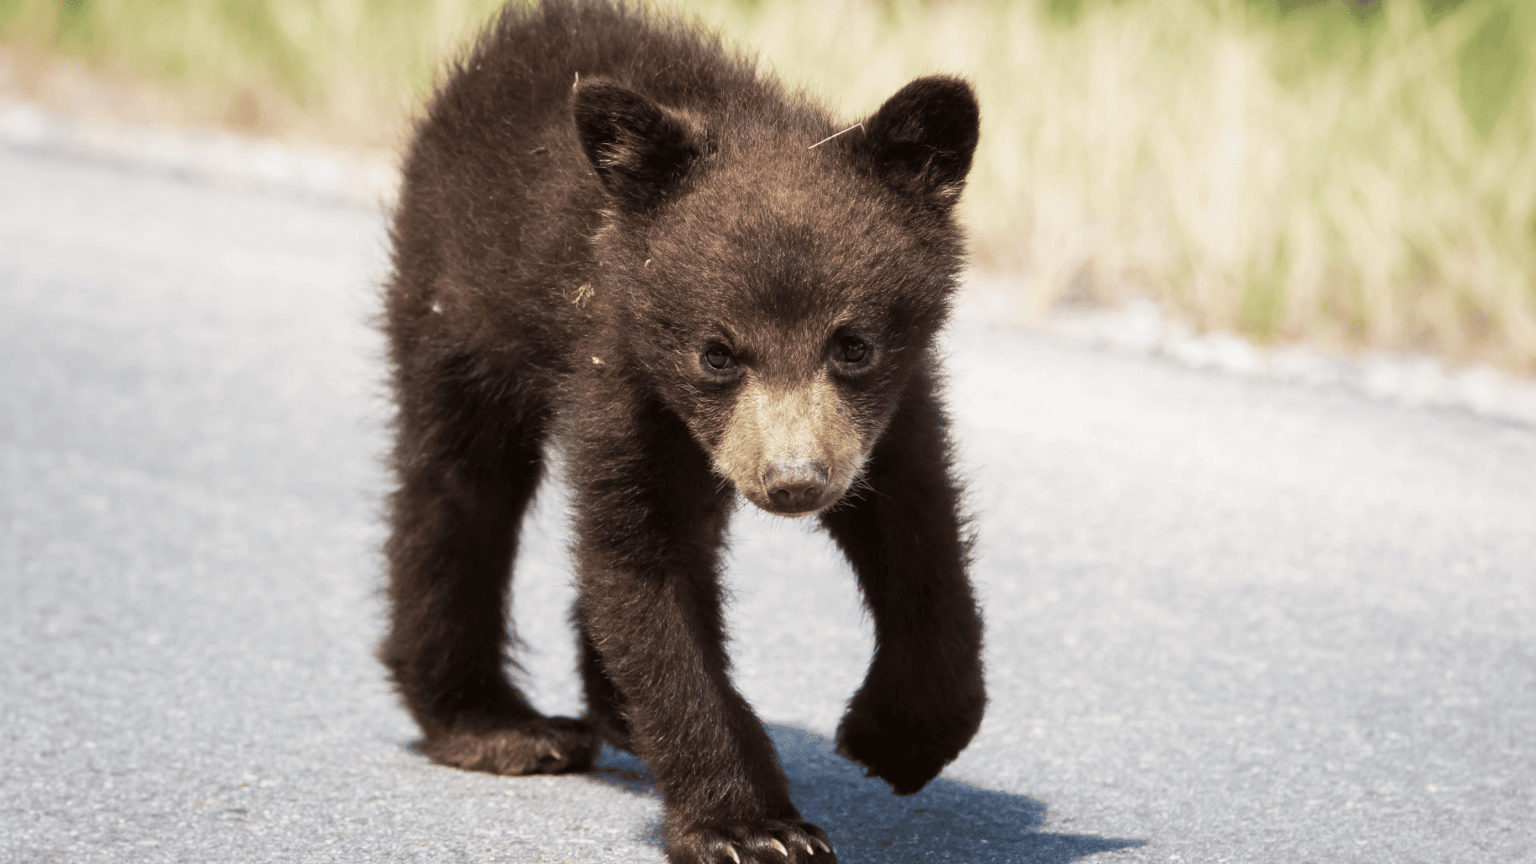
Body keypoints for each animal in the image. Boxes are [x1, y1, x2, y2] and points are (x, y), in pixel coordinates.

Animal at [379, 1, 985, 861]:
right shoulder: (617, 375)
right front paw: (752, 827)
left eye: (853, 344)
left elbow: (919, 532)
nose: (794, 482)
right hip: (458, 304)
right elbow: (644, 572)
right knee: (455, 491)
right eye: (717, 352)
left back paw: (611, 709)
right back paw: (496, 724)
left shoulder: (888, 411)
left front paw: (899, 737)